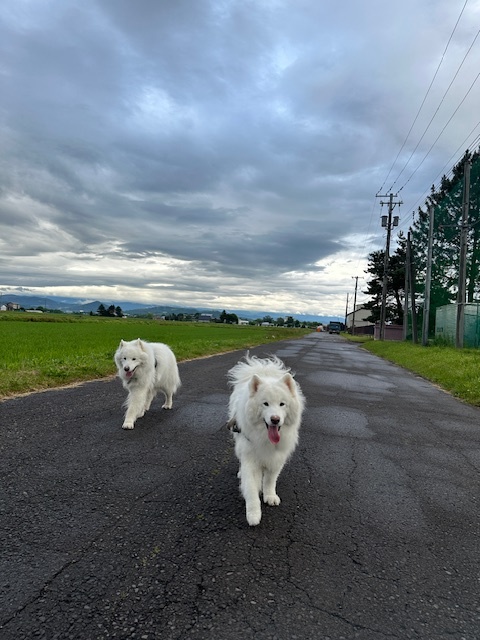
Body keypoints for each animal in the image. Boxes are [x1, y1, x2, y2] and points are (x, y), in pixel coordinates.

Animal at [227, 356, 306, 524]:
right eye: (265, 404)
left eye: (282, 404)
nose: (275, 419)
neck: (265, 439)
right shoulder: (250, 459)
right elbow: (251, 489)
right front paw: (253, 514)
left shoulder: (276, 459)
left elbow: (270, 481)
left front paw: (270, 496)